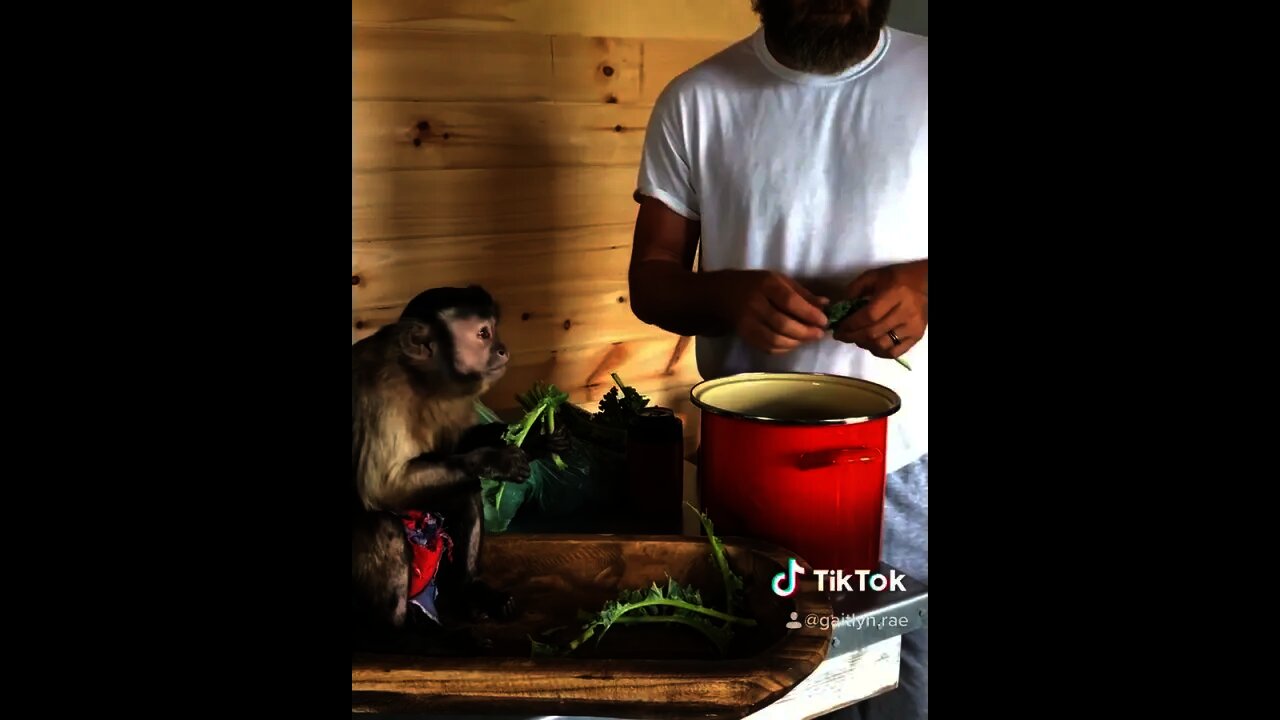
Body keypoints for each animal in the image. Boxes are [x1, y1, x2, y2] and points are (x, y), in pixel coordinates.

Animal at [353, 285, 568, 650]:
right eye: (484, 334)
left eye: (493, 330)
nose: (502, 348)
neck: (418, 377)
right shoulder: (381, 395)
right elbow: (380, 486)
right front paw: (495, 460)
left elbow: (456, 451)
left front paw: (530, 440)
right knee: (382, 526)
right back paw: (397, 638)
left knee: (462, 488)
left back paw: (467, 591)